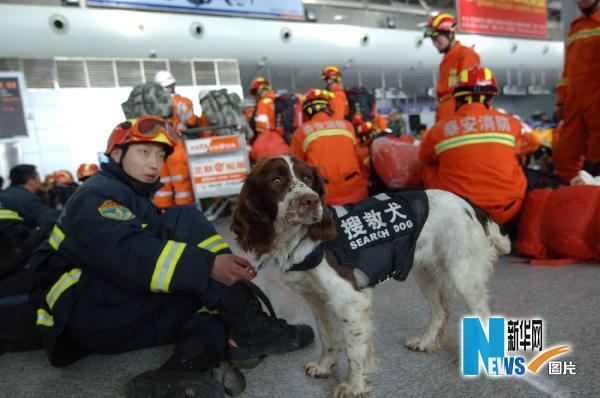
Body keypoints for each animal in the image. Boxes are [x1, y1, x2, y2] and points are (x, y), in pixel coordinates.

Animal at [232, 156, 508, 398]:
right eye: (276, 180)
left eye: (307, 177)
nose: (310, 201)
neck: (297, 241)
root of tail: (471, 205)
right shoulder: (317, 299)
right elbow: (327, 336)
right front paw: (325, 366)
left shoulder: (350, 301)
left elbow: (354, 349)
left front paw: (354, 386)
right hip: (424, 271)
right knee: (440, 310)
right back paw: (425, 340)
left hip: (462, 274)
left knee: (483, 315)